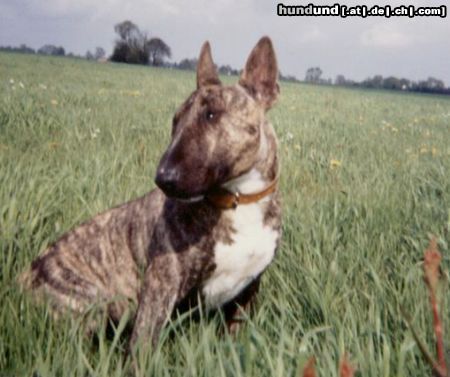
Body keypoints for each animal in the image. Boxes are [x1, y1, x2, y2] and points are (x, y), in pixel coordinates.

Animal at [22, 35, 282, 346]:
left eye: (211, 115)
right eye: (175, 120)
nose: (163, 178)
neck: (239, 199)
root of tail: (21, 280)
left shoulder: (248, 291)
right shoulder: (161, 286)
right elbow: (143, 345)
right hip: (92, 299)